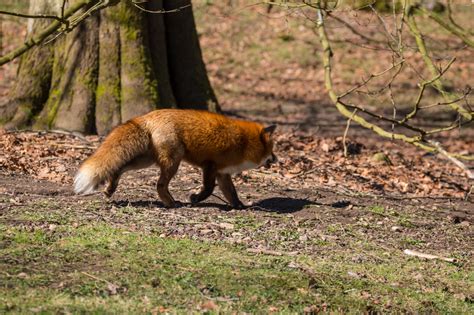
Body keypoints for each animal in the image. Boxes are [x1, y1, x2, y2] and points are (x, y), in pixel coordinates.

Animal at [72, 109, 276, 210]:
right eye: (272, 149)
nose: (277, 159)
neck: (243, 143)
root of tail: (148, 116)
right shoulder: (210, 165)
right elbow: (208, 189)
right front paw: (195, 198)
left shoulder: (222, 173)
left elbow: (232, 193)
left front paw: (240, 206)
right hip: (173, 161)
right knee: (160, 185)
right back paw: (171, 203)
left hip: (145, 161)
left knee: (119, 168)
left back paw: (110, 189)